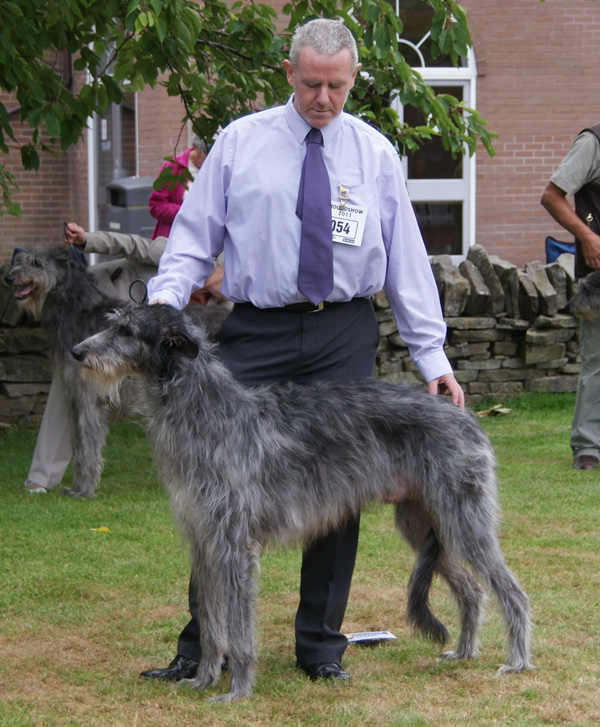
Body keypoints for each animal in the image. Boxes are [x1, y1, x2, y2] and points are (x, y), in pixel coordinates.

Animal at [4, 247, 230, 498]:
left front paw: (84, 489)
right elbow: (78, 443)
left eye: (36, 263)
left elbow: (87, 445)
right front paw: (77, 486)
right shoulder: (74, 396)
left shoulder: (89, 398)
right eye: (19, 260)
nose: (9, 278)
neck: (78, 311)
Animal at [71, 302, 536, 700]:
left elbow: (237, 628)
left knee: (512, 592)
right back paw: (463, 652)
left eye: (126, 330)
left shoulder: (234, 545)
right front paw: (201, 679)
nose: (76, 352)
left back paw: (516, 661)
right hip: (421, 523)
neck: (206, 410)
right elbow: (210, 624)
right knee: (472, 591)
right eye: (114, 323)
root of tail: (464, 414)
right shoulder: (203, 542)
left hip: (464, 518)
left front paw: (237, 691)